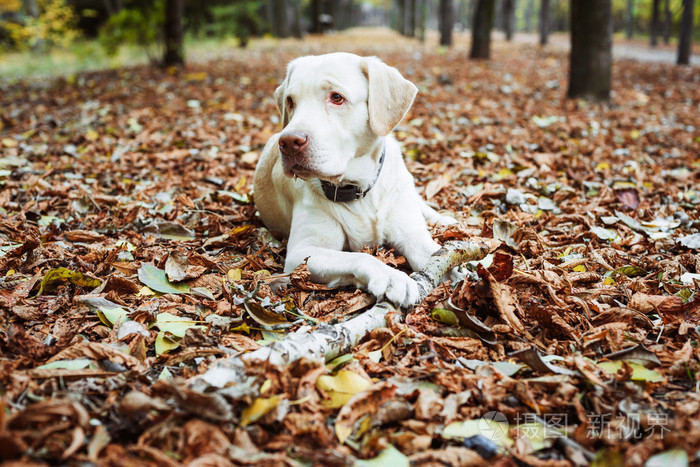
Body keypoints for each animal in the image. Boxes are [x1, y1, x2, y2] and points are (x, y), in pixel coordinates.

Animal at [254, 52, 456, 308]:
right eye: (290, 101)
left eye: (336, 97)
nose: (289, 141)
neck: (358, 189)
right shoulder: (302, 253)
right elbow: (359, 256)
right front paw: (392, 277)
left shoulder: (413, 237)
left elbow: (438, 253)